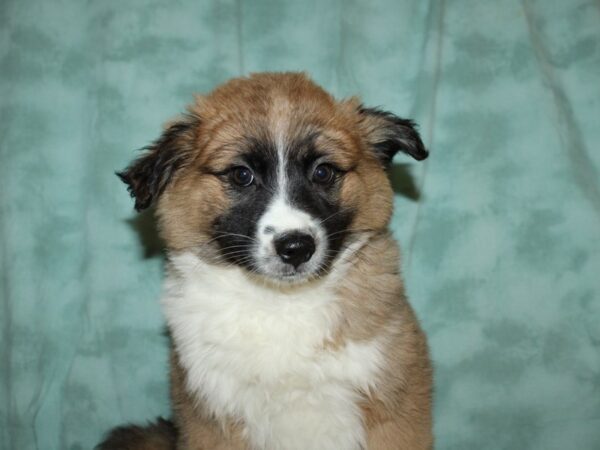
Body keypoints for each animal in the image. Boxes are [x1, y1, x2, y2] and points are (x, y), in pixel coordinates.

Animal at [101, 72, 434, 448]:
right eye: (242, 175)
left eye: (323, 172)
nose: (296, 248)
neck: (280, 301)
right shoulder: (212, 422)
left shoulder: (395, 411)